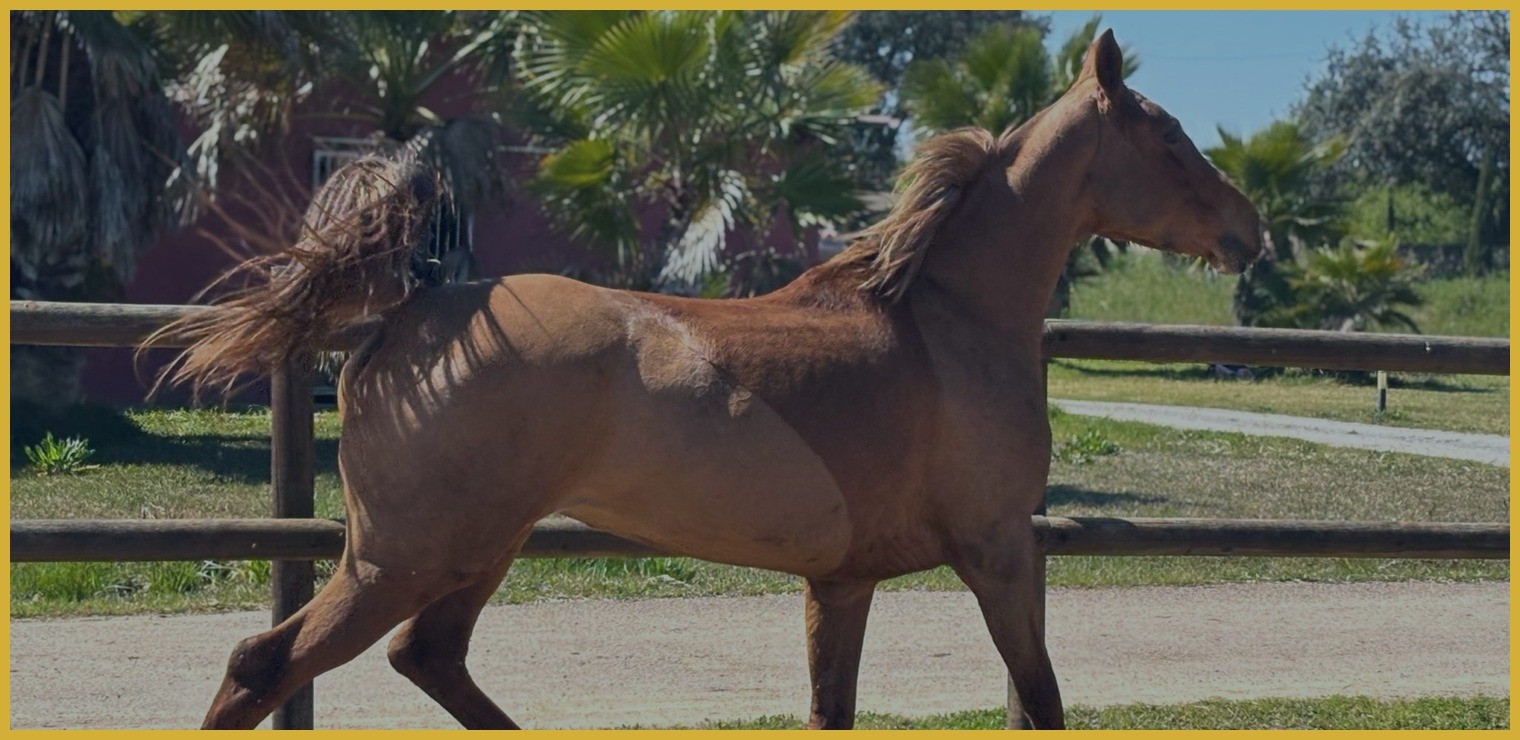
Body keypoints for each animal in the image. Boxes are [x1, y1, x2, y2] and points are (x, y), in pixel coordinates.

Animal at [166, 31, 1261, 730]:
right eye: (1169, 138)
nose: (1250, 230)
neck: (948, 324)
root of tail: (408, 310)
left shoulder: (844, 580)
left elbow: (831, 708)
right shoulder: (999, 550)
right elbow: (1039, 698)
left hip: (474, 548)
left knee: (425, 656)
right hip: (405, 557)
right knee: (267, 664)